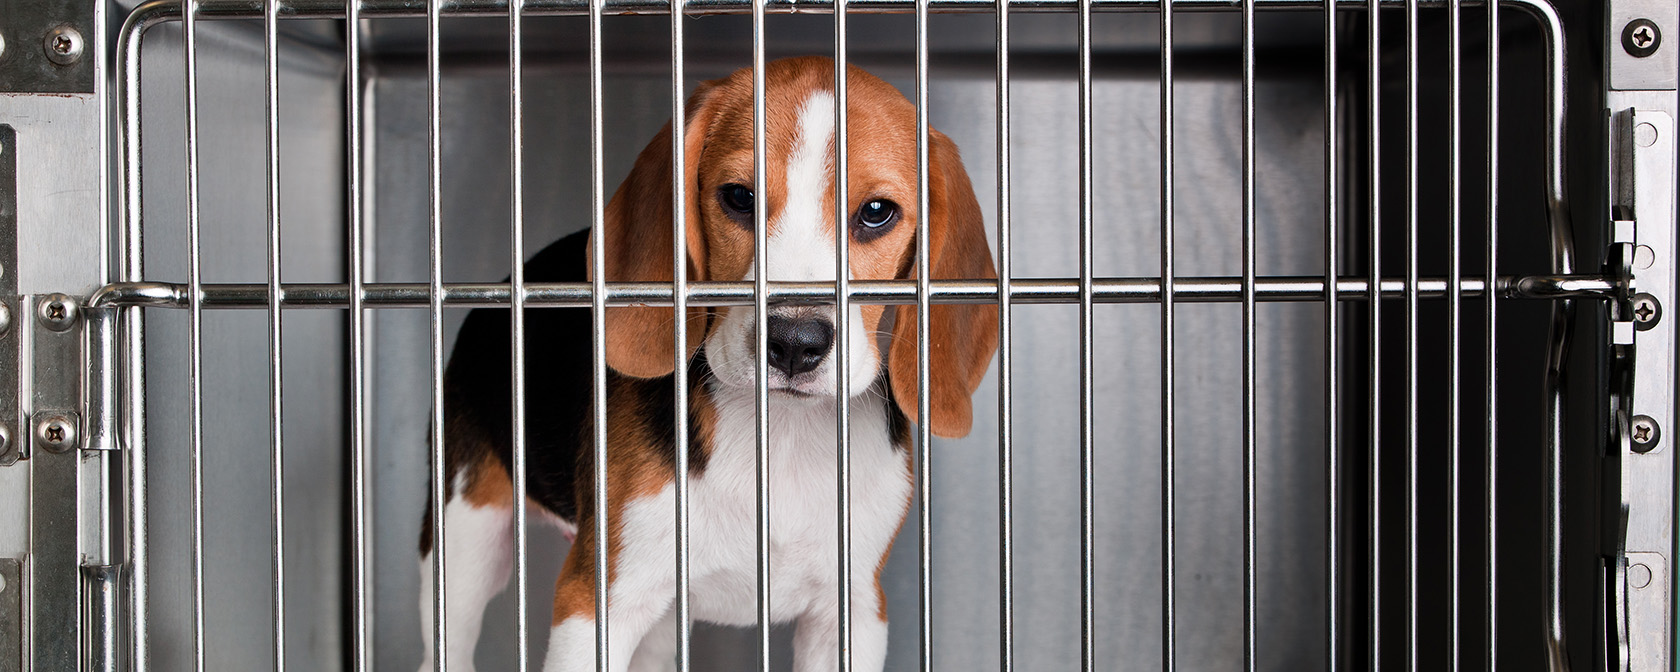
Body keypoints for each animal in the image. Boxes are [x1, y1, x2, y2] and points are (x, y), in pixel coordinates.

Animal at [420, 56, 994, 672]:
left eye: (877, 212)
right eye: (739, 197)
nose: (795, 341)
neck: (780, 434)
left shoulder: (854, 612)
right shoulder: (596, 601)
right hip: (463, 537)